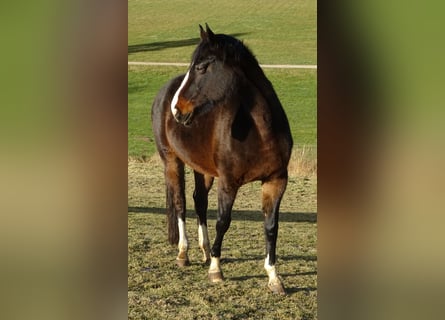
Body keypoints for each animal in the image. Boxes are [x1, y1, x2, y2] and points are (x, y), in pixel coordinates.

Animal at [151, 24, 294, 296]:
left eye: (201, 67)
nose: (177, 109)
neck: (260, 132)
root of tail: (163, 92)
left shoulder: (276, 181)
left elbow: (271, 226)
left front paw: (274, 277)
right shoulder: (228, 182)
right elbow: (223, 221)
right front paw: (216, 271)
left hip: (203, 169)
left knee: (199, 201)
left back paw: (205, 250)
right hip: (172, 161)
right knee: (180, 203)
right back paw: (184, 254)